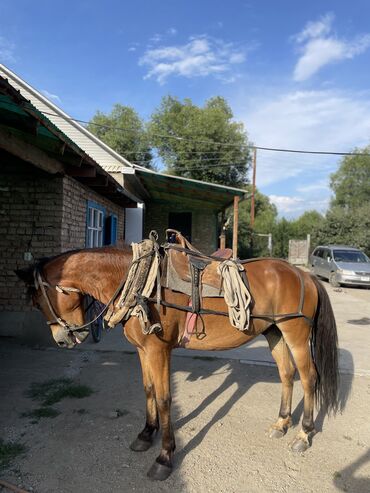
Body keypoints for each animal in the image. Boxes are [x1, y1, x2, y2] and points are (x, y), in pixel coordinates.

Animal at [16, 246, 338, 480]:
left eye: (39, 301)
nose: (62, 340)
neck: (139, 284)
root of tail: (304, 275)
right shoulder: (143, 350)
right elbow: (148, 390)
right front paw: (146, 434)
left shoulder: (159, 350)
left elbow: (164, 399)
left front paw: (165, 456)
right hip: (274, 332)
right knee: (286, 374)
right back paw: (281, 423)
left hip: (296, 334)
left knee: (309, 378)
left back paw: (303, 433)